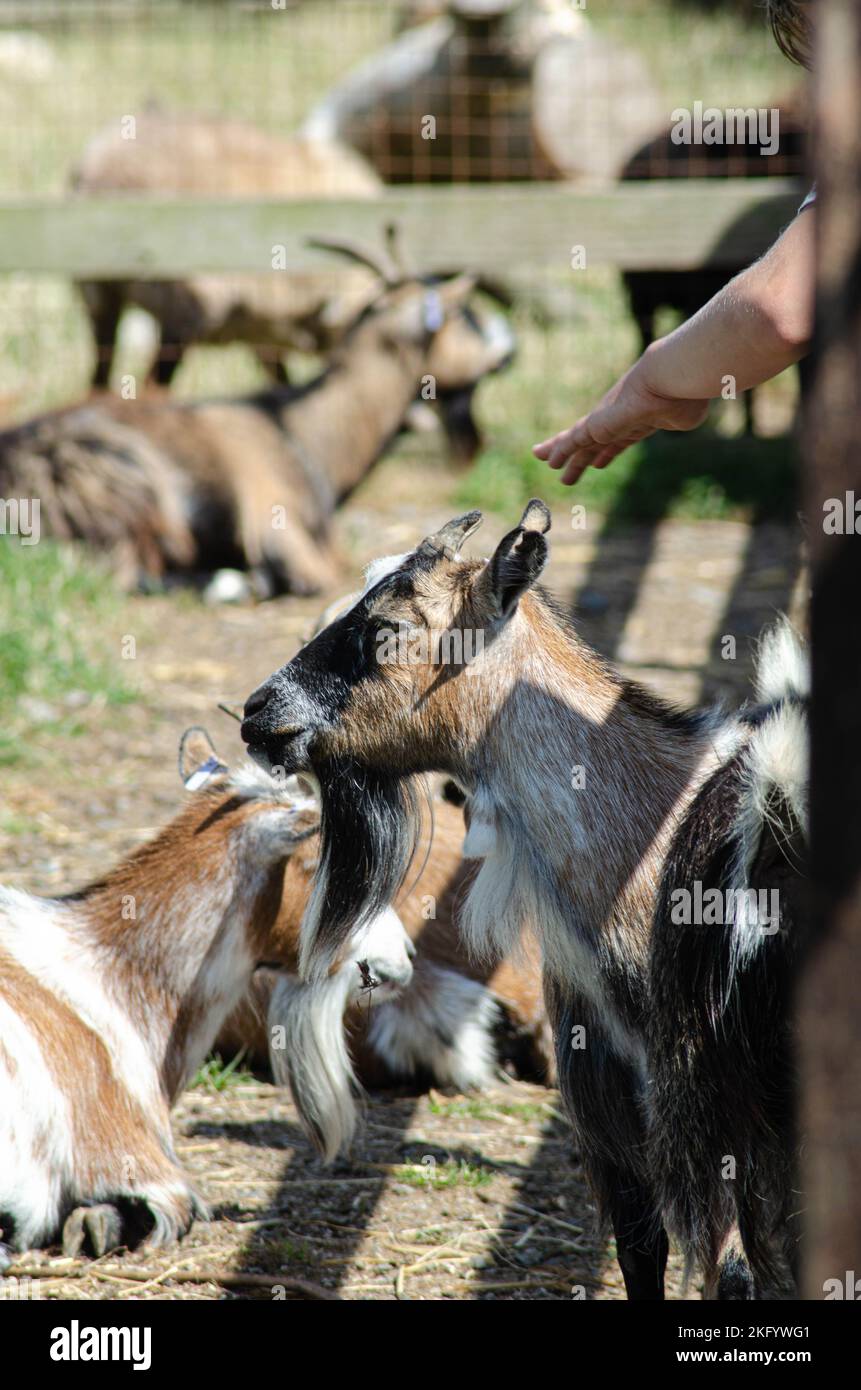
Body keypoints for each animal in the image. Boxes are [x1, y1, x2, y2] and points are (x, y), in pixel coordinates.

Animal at [0, 247, 514, 595]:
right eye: (461, 316)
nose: (502, 358)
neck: (298, 432)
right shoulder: (276, 520)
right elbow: (318, 578)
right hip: (130, 483)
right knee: (133, 572)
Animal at [240, 501, 808, 1299]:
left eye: (386, 626)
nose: (258, 712)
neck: (651, 844)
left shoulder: (709, 1126)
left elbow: (732, 1276)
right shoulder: (617, 1110)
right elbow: (642, 1254)